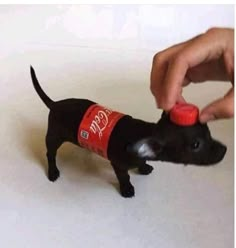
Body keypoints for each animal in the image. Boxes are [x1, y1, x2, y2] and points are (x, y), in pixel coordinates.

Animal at [30, 66, 227, 198]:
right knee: (50, 154)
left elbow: (142, 162)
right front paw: (127, 189)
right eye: (196, 145)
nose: (225, 150)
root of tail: (55, 104)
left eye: (209, 132)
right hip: (54, 137)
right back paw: (53, 171)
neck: (147, 132)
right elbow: (124, 177)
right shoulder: (118, 165)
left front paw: (144, 167)